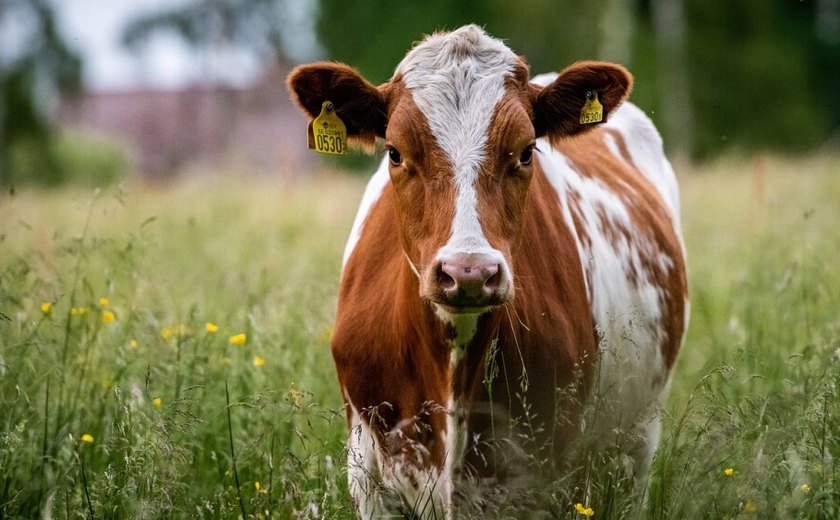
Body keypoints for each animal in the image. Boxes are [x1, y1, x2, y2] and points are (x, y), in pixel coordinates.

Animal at [288, 23, 688, 516]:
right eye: (396, 153)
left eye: (526, 151)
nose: (469, 272)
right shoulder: (369, 479)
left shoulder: (539, 480)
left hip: (636, 442)